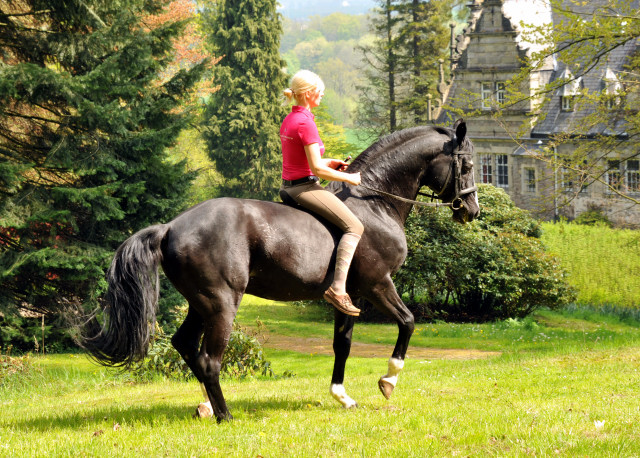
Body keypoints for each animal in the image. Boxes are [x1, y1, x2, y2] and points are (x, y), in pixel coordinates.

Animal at [81, 120, 480, 420]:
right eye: (469, 166)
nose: (471, 211)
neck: (375, 201)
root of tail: (170, 227)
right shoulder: (378, 284)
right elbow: (408, 322)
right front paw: (388, 380)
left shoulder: (348, 297)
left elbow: (343, 344)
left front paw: (342, 396)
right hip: (221, 303)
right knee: (210, 360)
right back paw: (225, 415)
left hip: (200, 303)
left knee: (186, 346)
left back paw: (207, 407)